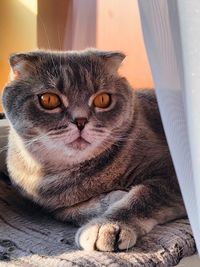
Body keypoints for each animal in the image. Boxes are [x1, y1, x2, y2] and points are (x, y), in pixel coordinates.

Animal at [1, 49, 186, 252]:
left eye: (103, 99)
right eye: (48, 99)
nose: (80, 121)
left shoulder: (171, 174)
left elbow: (143, 195)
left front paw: (106, 225)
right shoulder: (49, 207)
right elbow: (72, 211)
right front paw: (113, 198)